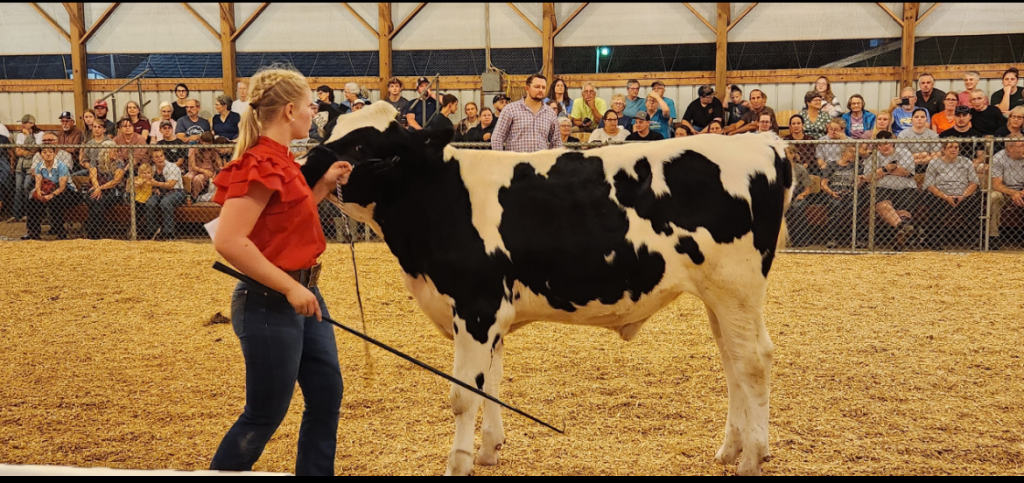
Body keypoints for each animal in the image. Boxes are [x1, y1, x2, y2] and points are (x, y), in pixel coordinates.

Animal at [299, 101, 794, 474]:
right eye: (329, 130)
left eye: (361, 145)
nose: (306, 166)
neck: (438, 196)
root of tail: (762, 143)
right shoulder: (492, 315)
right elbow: (490, 382)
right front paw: (489, 450)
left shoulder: (476, 307)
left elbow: (463, 394)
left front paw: (459, 463)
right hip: (719, 298)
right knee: (731, 362)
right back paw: (730, 449)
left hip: (736, 288)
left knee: (753, 361)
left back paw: (753, 457)